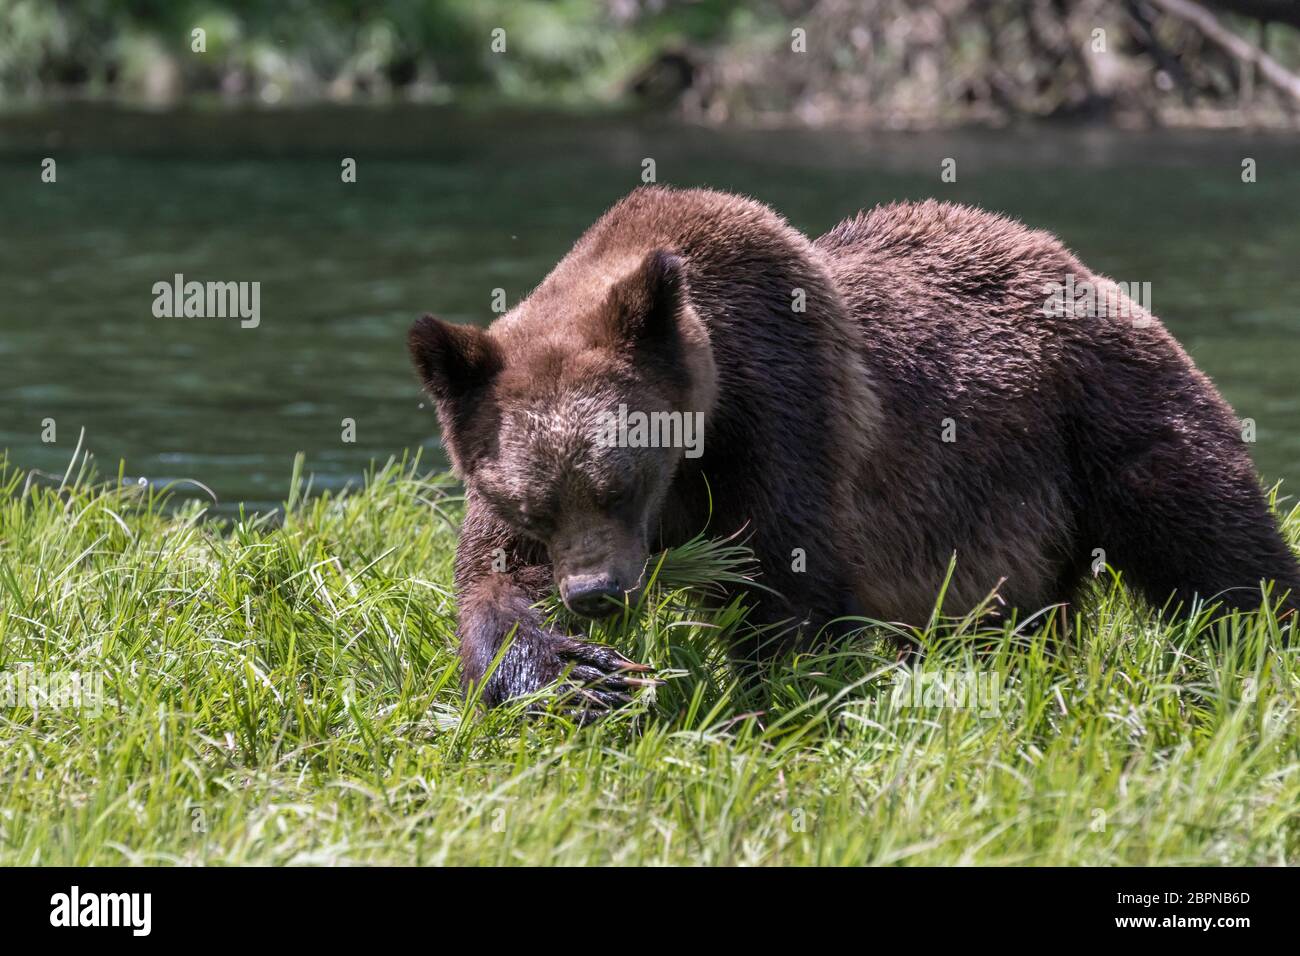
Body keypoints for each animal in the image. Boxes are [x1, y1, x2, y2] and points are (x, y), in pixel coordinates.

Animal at [408, 187, 1300, 712]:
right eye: (534, 501)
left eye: (620, 481)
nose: (596, 594)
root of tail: (1078, 265)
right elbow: (490, 582)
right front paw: (577, 677)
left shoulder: (788, 412)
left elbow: (790, 585)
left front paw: (769, 697)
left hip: (1097, 411)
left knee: (1208, 538)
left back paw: (1260, 638)